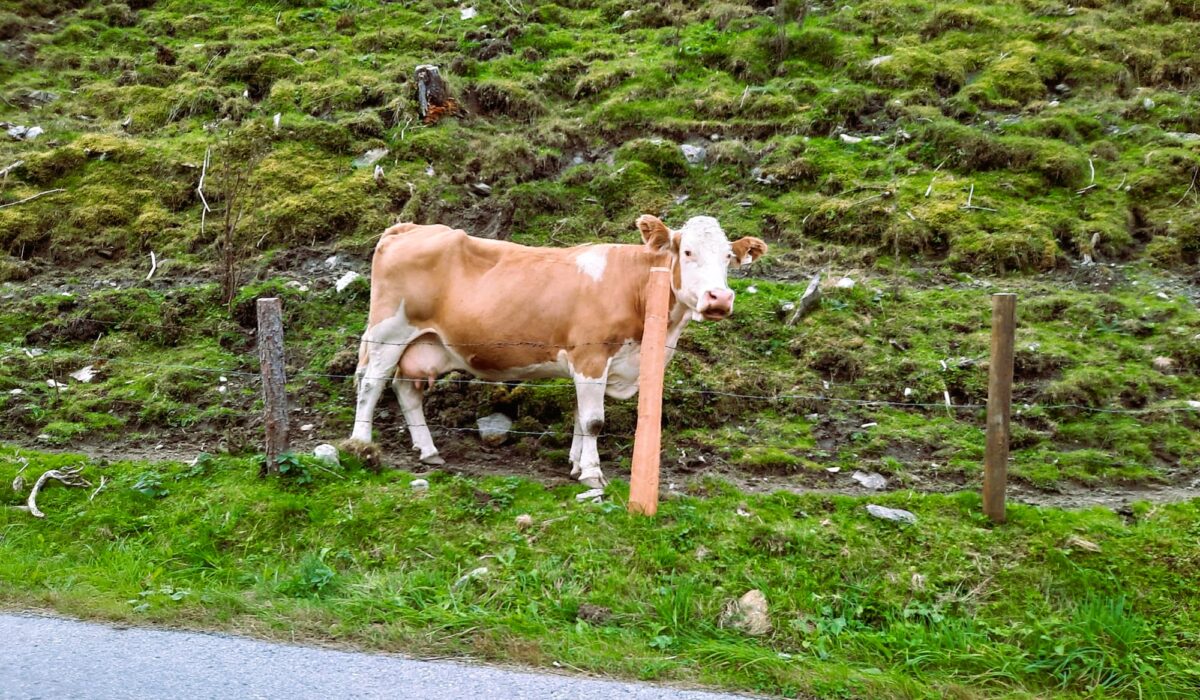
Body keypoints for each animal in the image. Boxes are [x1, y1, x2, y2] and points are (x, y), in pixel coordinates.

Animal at [346, 214, 767, 488]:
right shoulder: (591, 356)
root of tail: (410, 227)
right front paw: (593, 474)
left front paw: (577, 465)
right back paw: (362, 446)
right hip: (389, 332)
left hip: (425, 343)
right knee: (371, 384)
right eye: (688, 252)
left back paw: (428, 450)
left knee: (405, 389)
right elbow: (594, 421)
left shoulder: (593, 365)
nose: (719, 298)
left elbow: (581, 418)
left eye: (728, 258)